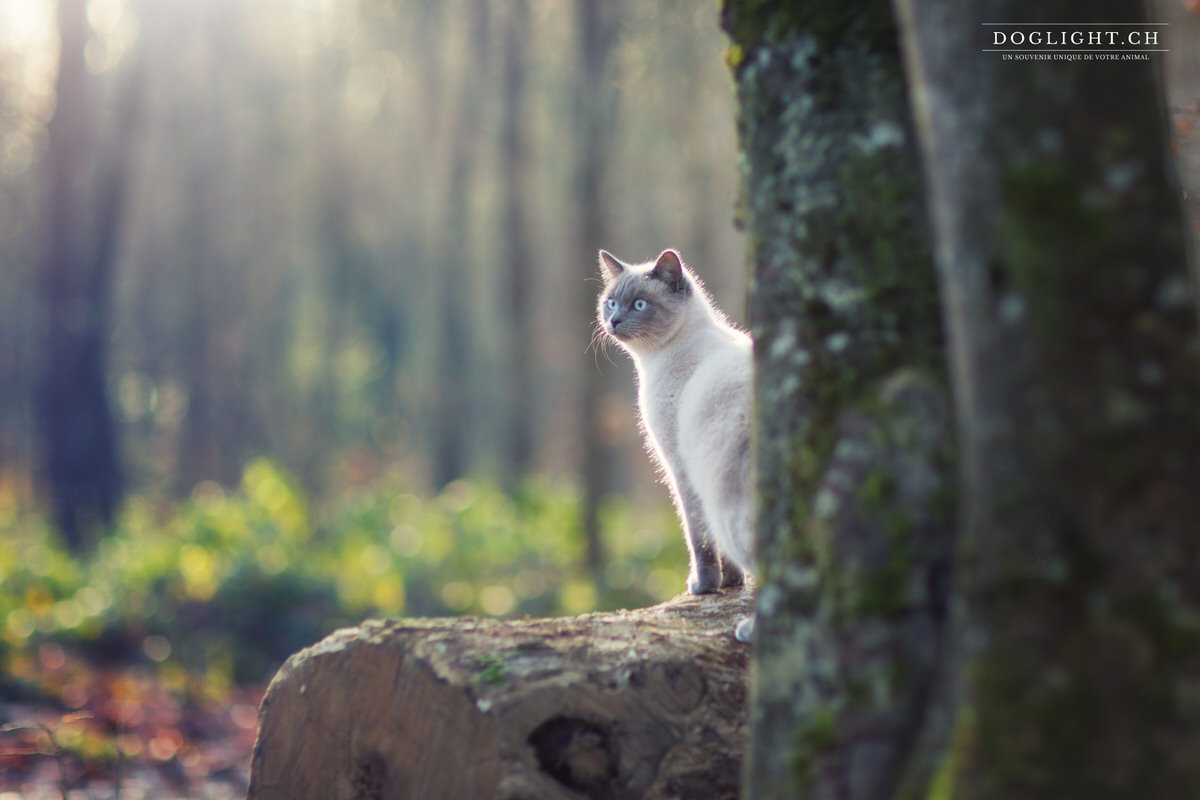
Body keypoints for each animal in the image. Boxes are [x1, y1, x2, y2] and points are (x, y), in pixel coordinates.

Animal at [595, 247, 753, 642]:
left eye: (638, 304)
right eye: (610, 303)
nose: (614, 321)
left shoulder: (680, 467)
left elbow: (698, 538)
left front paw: (704, 587)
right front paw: (730, 584)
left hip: (726, 500)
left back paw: (749, 630)